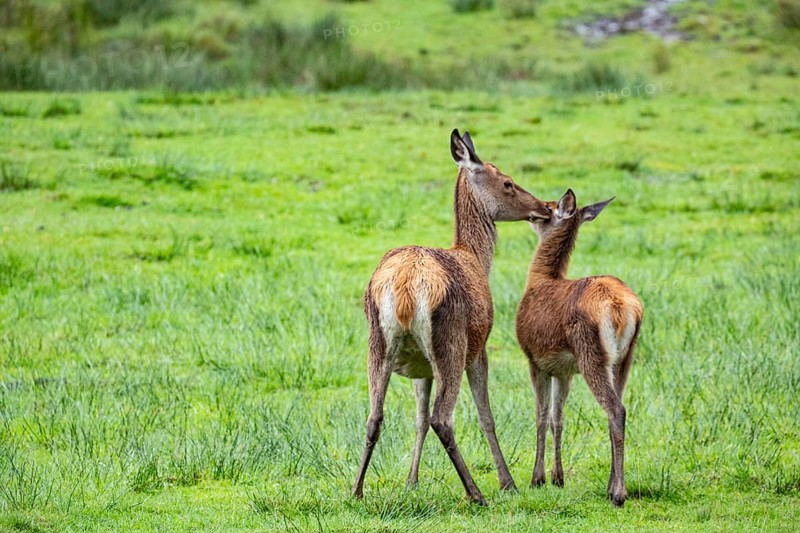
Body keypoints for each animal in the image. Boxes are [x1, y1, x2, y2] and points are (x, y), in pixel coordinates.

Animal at [352, 129, 552, 506]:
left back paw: (356, 490)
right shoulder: (480, 348)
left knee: (375, 416)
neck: (475, 258)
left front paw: (411, 482)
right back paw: (476, 494)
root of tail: (404, 288)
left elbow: (416, 418)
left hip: (378, 343)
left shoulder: (420, 367)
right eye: (507, 182)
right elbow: (486, 416)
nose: (544, 207)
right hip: (452, 343)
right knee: (442, 419)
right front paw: (508, 482)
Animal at [515, 188, 643, 507]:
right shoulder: (564, 370)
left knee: (616, 409)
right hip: (624, 358)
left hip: (591, 353)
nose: (533, 212)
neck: (538, 282)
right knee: (616, 409)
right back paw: (611, 485)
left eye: (548, 207)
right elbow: (558, 418)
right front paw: (557, 478)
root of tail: (622, 308)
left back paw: (619, 493)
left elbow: (541, 416)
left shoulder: (534, 359)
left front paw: (537, 479)